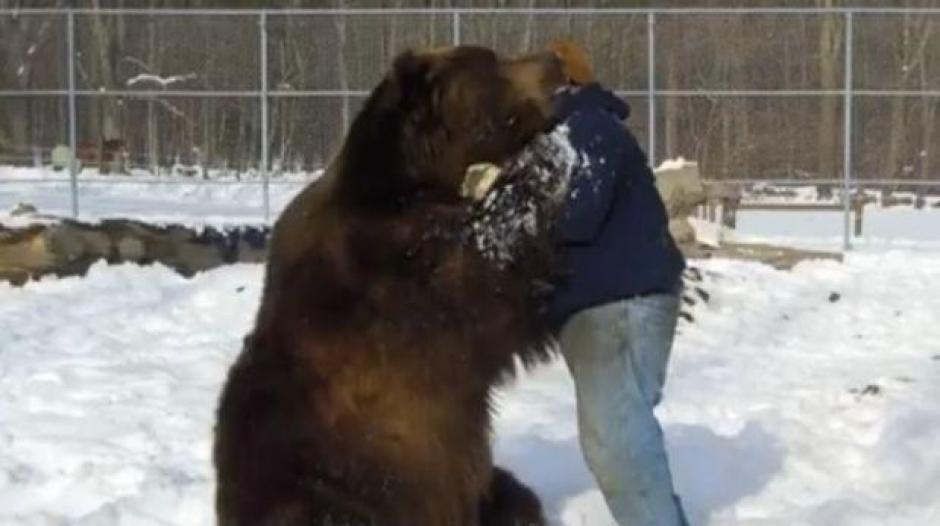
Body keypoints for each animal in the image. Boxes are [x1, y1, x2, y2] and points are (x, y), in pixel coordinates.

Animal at [213, 45, 571, 526]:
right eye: (491, 60)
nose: (555, 60)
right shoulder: (391, 277)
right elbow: (489, 278)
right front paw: (549, 157)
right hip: (336, 486)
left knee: (509, 494)